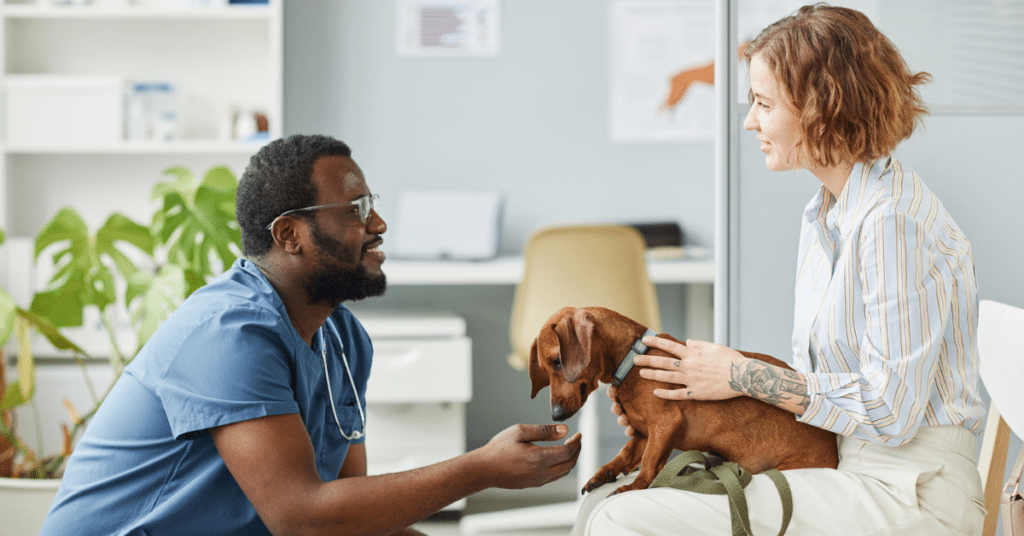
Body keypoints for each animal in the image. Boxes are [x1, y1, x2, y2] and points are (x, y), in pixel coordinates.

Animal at [532, 305, 835, 496]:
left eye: (558, 361)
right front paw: (604, 474)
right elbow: (626, 454)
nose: (556, 415)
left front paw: (635, 486)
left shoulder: (665, 423)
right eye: (545, 369)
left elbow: (650, 461)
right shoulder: (643, 433)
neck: (632, 358)